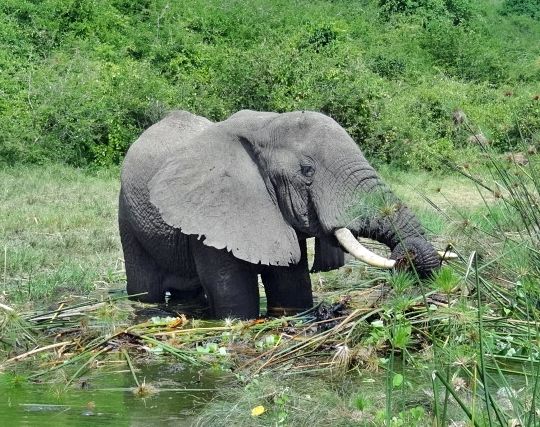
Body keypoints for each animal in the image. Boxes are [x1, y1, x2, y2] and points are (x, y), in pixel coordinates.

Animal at [119, 111, 452, 320]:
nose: (407, 259)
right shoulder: (212, 210)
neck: (263, 124)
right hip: (126, 213)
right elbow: (234, 298)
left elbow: (292, 288)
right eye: (307, 171)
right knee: (144, 286)